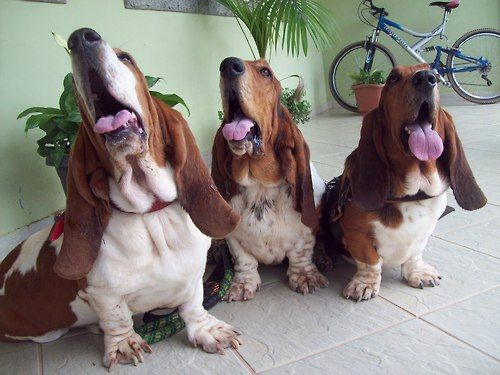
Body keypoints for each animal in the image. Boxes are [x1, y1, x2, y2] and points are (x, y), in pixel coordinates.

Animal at [0, 28, 242, 370]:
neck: (149, 212)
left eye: (125, 58)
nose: (79, 38)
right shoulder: (102, 294)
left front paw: (206, 330)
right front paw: (124, 343)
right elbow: (117, 318)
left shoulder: (194, 276)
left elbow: (193, 305)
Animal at [211, 56, 328, 302]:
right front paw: (241, 284)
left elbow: (301, 253)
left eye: (265, 72)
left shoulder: (305, 233)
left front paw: (306, 277)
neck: (259, 185)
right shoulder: (235, 240)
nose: (228, 64)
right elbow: (243, 260)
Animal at [326, 63, 486, 302]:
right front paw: (364, 284)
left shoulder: (422, 234)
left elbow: (414, 254)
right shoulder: (356, 235)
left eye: (435, 73)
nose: (426, 78)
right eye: (393, 78)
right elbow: (370, 261)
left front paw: (418, 273)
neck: (413, 192)